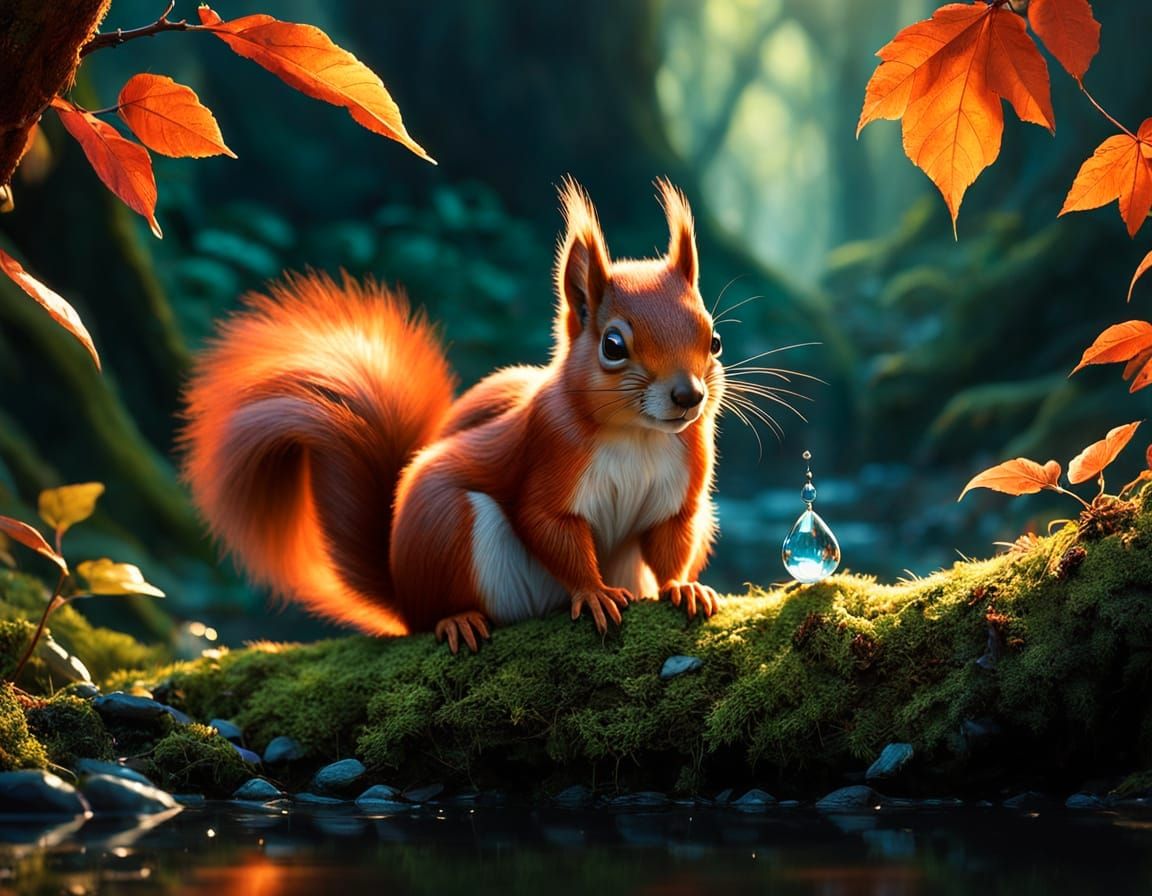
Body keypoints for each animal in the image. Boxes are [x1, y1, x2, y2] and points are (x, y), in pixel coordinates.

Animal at [181, 178, 725, 652]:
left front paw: (681, 587)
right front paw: (592, 592)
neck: (638, 436)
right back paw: (457, 619)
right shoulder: (549, 452)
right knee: (442, 607)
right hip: (448, 526)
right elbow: (549, 527)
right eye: (612, 346)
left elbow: (671, 539)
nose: (688, 396)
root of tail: (403, 596)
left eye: (713, 339)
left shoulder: (684, 486)